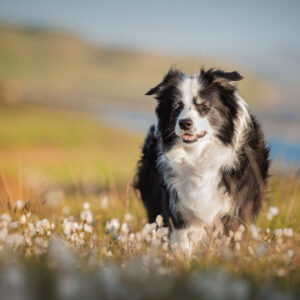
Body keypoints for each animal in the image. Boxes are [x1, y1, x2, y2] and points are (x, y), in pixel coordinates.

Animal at [135, 68, 268, 251]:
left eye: (204, 106)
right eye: (177, 107)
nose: (184, 123)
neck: (198, 158)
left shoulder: (236, 206)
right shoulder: (177, 207)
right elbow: (182, 242)